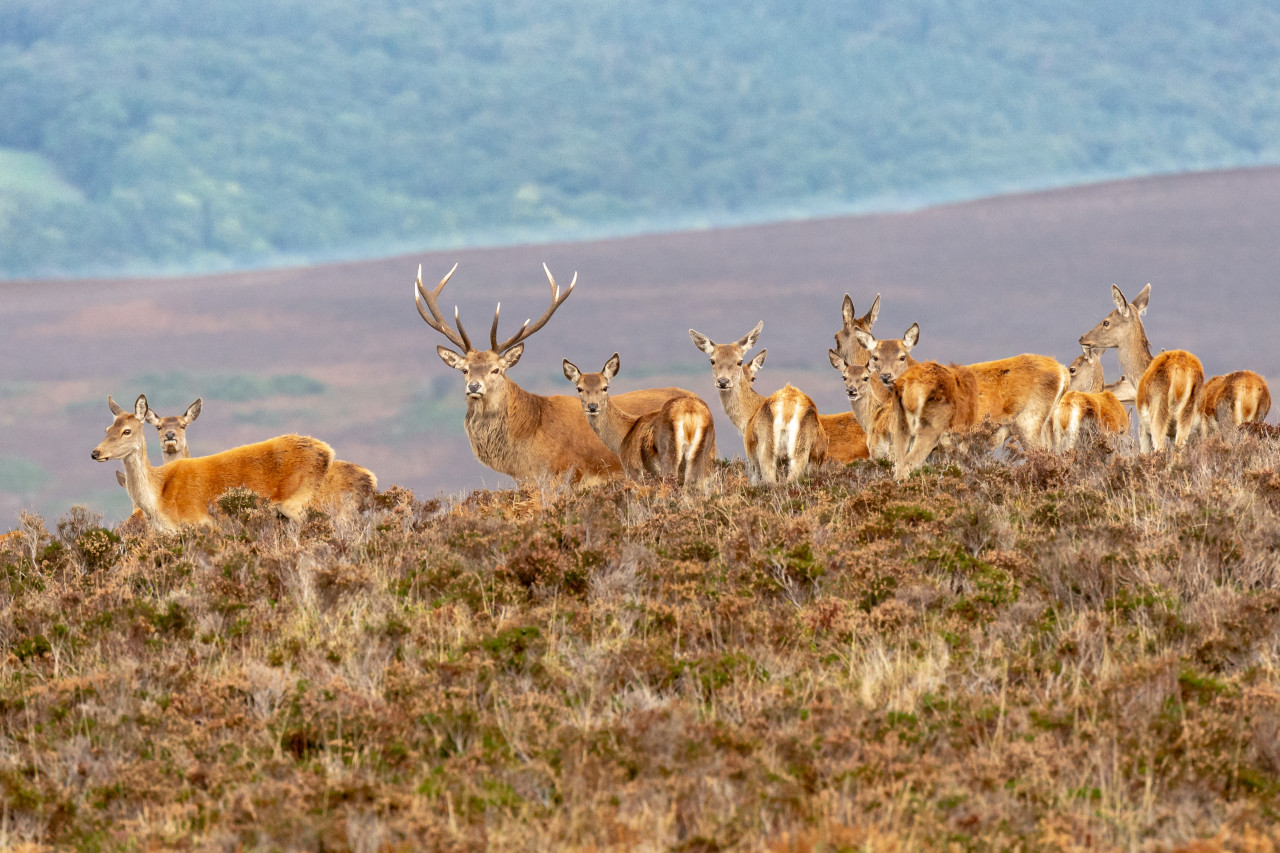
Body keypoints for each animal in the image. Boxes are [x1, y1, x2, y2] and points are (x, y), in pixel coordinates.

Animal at [93, 394, 343, 532]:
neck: (157, 500)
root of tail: (328, 452)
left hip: (299, 503)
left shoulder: (199, 523)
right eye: (106, 429)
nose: (95, 452)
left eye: (127, 430)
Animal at [563, 350, 716, 484]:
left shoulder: (633, 469)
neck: (623, 436)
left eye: (605, 387)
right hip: (703, 455)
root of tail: (690, 413)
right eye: (579, 388)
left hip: (669, 454)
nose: (593, 406)